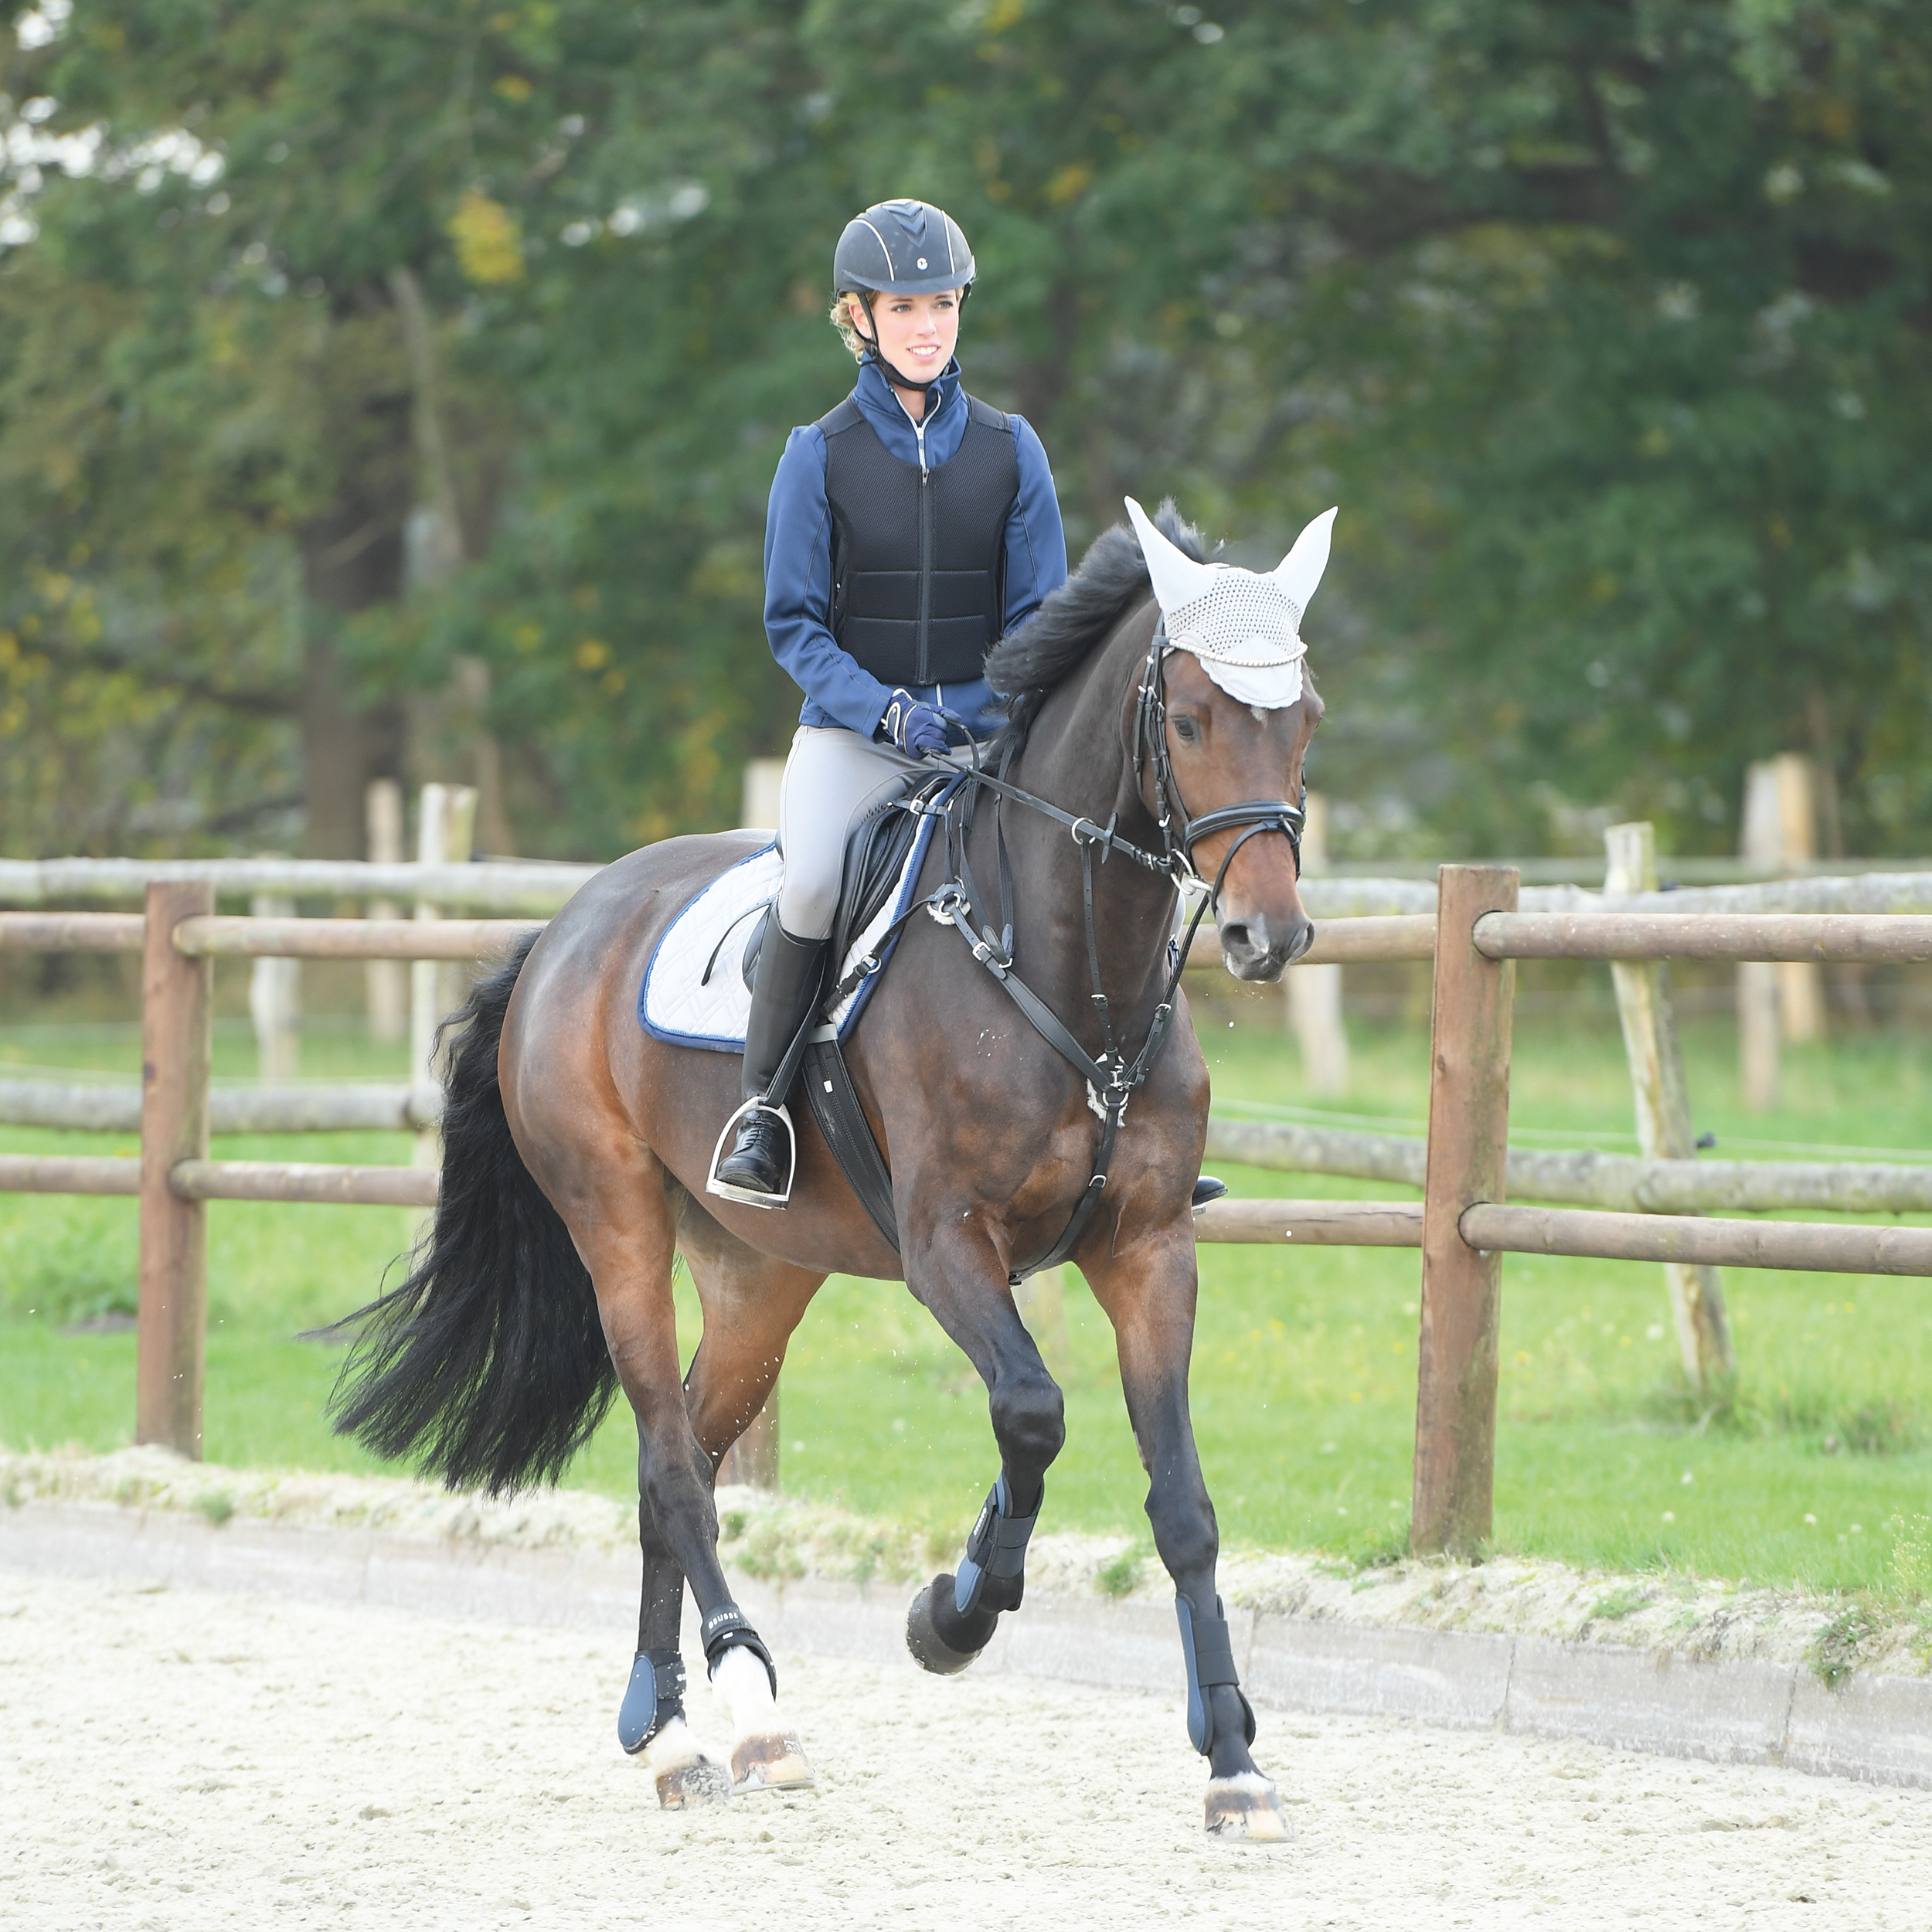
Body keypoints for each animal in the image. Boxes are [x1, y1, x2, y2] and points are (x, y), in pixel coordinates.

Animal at [332, 498, 1329, 1839]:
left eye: (1304, 714)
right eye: (1188, 720)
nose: (1267, 935)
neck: (1068, 965)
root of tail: (565, 930)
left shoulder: (1149, 1252)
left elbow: (1182, 1507)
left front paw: (1232, 1758)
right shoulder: (948, 1245)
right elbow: (1032, 1413)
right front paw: (952, 1616)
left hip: (762, 1278)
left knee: (678, 1461)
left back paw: (664, 1731)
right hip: (618, 1230)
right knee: (670, 1466)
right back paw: (748, 1719)